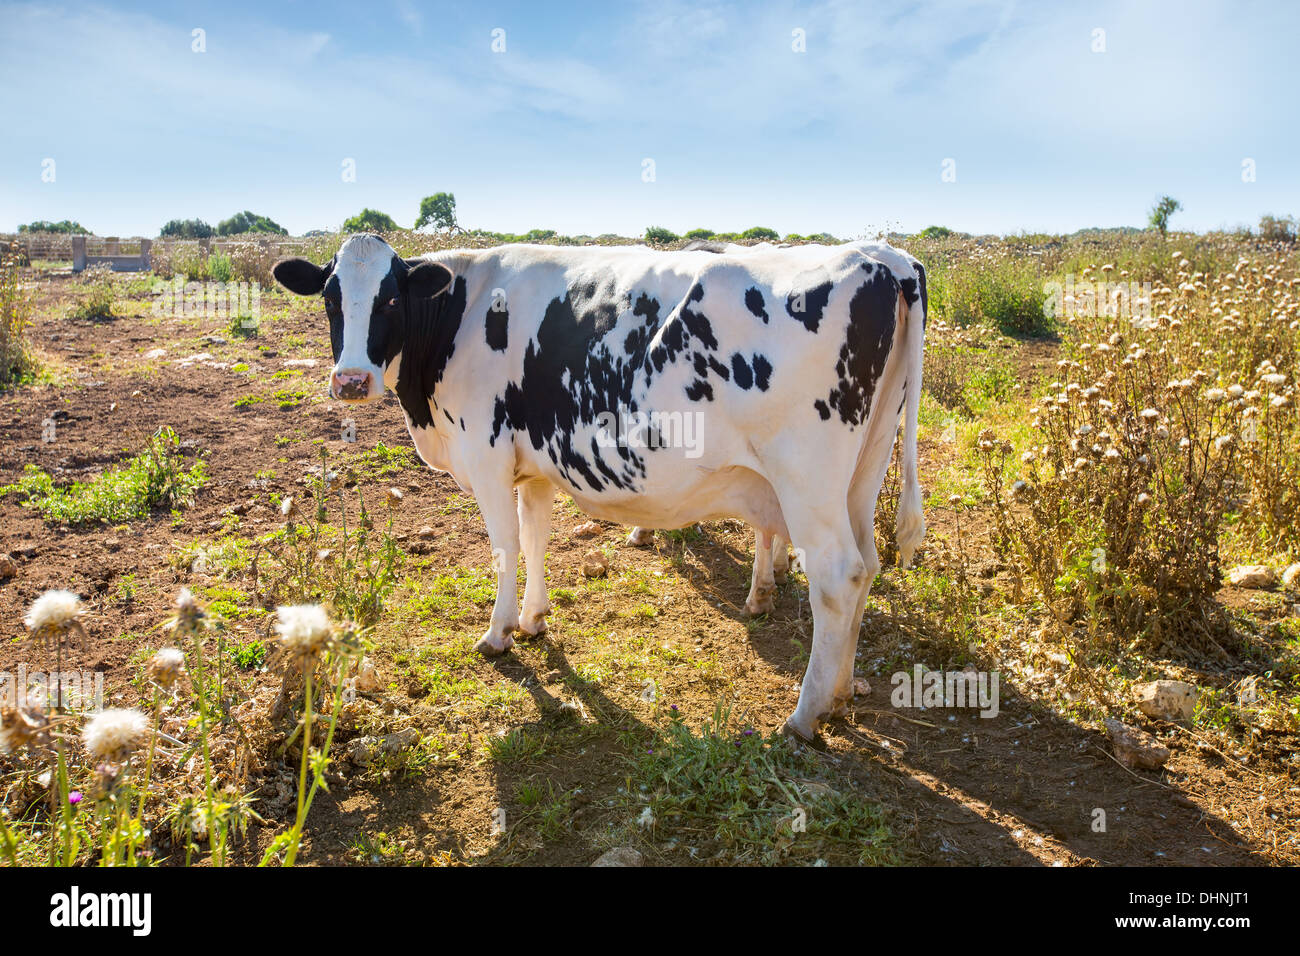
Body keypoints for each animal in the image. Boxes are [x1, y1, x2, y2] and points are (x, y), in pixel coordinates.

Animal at [274, 234, 925, 738]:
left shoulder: (485, 456)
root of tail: (881, 258)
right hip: (862, 472)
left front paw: (497, 633)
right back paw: (840, 691)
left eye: (390, 297)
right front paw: (533, 619)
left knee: (838, 577)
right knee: (867, 567)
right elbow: (534, 537)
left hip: (807, 479)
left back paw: (805, 714)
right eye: (331, 299)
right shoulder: (532, 465)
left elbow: (505, 547)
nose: (351, 381)